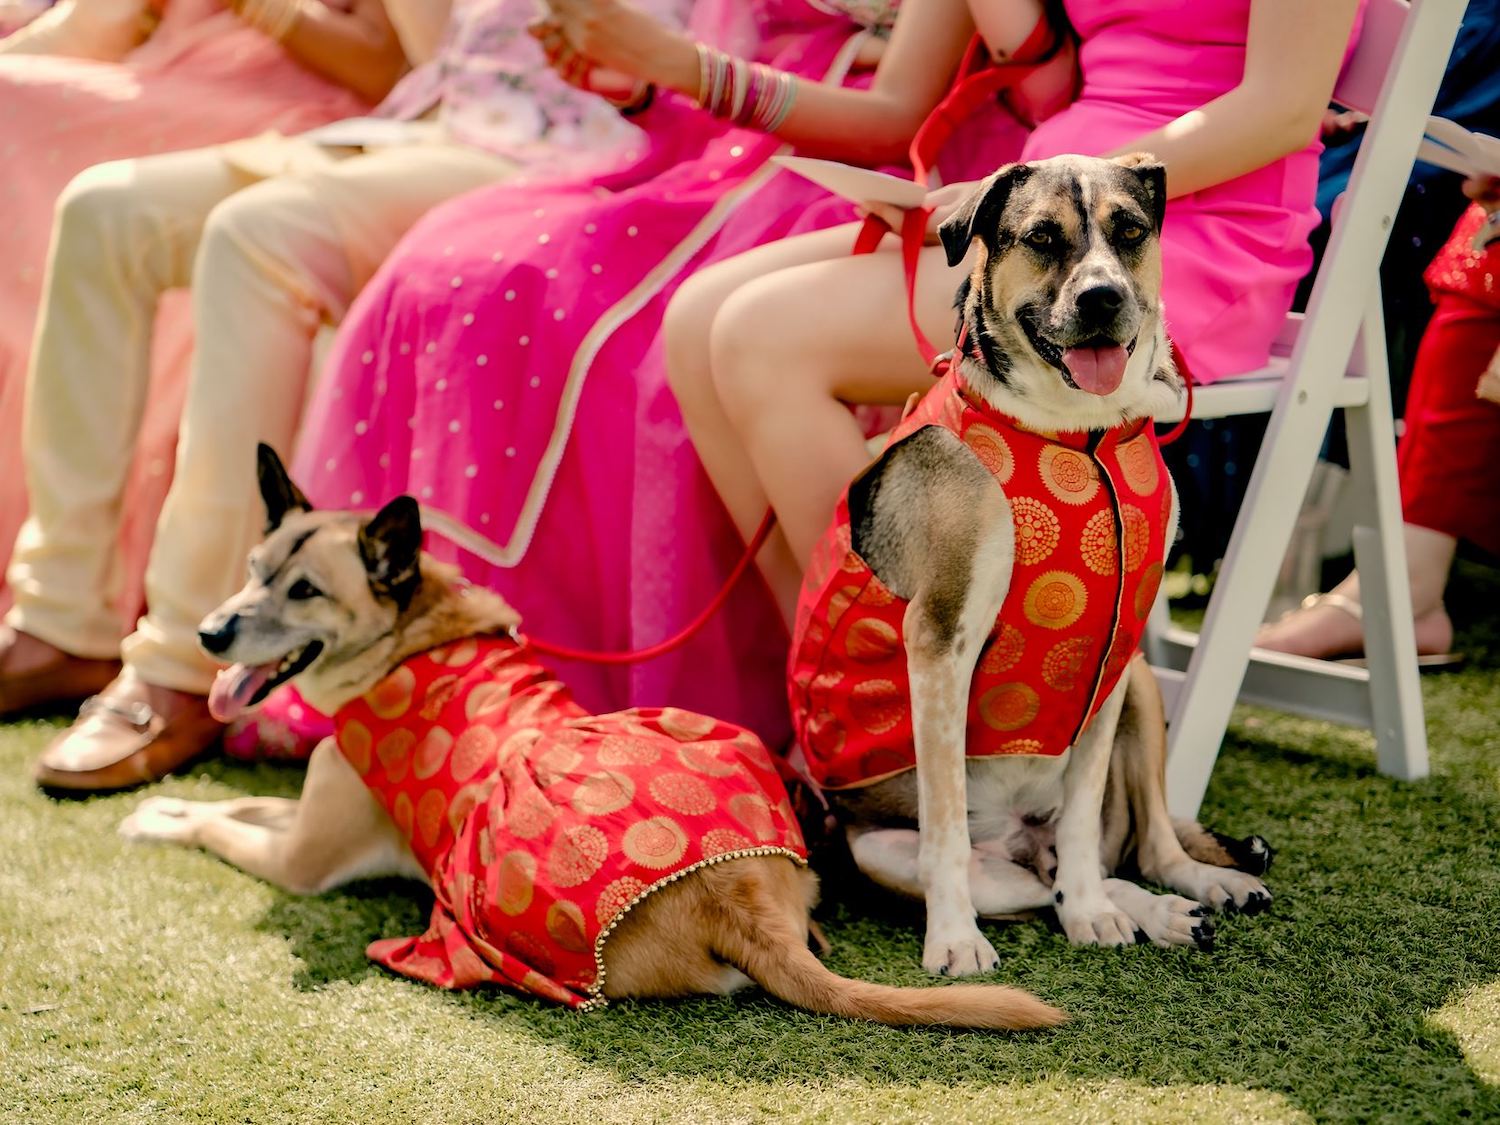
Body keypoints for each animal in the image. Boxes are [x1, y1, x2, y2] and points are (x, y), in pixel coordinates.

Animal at [120, 447, 1068, 1032]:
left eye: (305, 590)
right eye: (254, 570)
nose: (206, 632)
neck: (411, 637)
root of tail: (727, 900)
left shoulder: (303, 861)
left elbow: (221, 821)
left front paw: (159, 817)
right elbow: (241, 799)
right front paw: (162, 803)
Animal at [792, 154, 1272, 984]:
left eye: (1129, 230)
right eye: (1042, 237)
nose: (1103, 296)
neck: (1076, 433)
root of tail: (1020, 834)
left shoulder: (1113, 656)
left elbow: (1081, 824)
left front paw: (1094, 916)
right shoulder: (941, 642)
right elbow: (947, 829)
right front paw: (954, 940)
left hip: (1144, 686)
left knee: (1138, 849)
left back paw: (1190, 890)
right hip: (888, 852)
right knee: (1026, 879)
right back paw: (1146, 910)